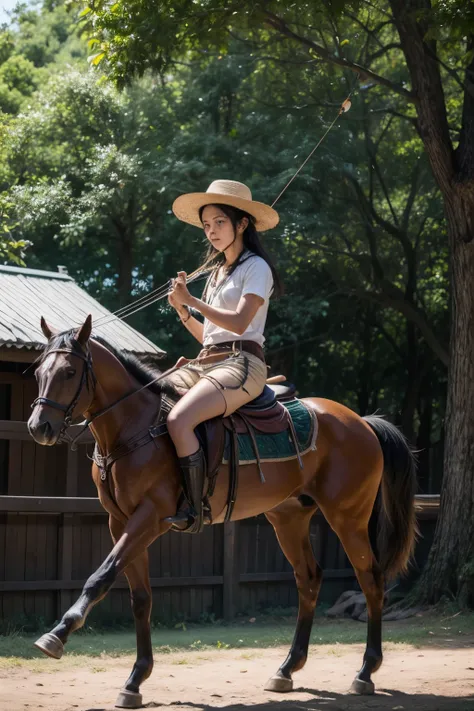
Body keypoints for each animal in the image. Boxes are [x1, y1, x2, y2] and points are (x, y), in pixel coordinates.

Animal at [27, 318, 416, 711]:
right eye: (40, 373)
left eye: (69, 372)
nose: (38, 427)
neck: (136, 427)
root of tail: (361, 422)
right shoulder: (119, 521)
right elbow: (141, 598)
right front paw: (136, 679)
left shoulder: (148, 518)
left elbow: (102, 575)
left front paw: (59, 632)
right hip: (289, 518)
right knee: (309, 579)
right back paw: (287, 668)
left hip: (348, 518)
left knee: (371, 581)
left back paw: (365, 671)